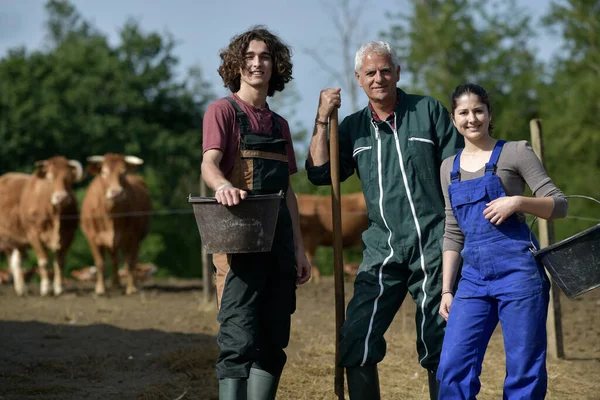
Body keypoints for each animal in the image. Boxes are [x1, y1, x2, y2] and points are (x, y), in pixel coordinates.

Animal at [0, 155, 82, 296]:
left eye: (68, 177)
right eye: (50, 177)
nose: (61, 197)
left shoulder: (69, 235)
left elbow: (60, 262)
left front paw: (58, 288)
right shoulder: (33, 235)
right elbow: (43, 262)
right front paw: (45, 288)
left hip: (19, 242)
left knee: (16, 262)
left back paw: (21, 289)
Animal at [80, 152, 152, 294]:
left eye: (123, 172)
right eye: (104, 172)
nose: (116, 192)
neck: (111, 216)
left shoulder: (133, 237)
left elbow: (130, 263)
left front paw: (131, 288)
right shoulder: (92, 237)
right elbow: (100, 262)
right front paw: (100, 289)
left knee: (132, 260)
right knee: (114, 260)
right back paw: (115, 284)